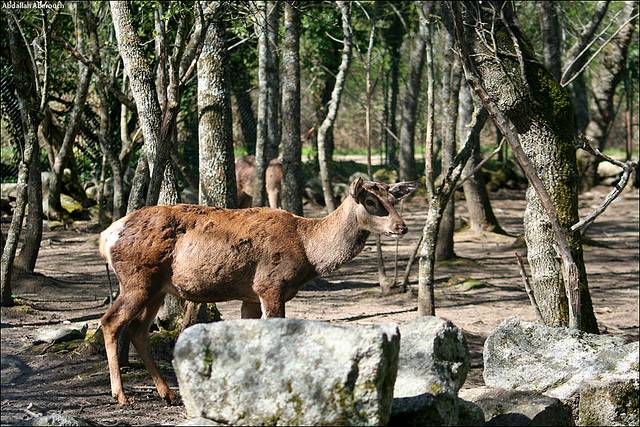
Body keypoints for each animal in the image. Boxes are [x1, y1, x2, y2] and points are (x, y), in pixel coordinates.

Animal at [95, 179, 416, 406]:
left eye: (393, 198)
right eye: (371, 201)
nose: (402, 226)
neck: (308, 251)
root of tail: (106, 237)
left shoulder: (250, 294)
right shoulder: (270, 285)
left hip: (157, 288)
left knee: (137, 329)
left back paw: (168, 393)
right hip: (137, 279)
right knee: (110, 322)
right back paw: (121, 395)